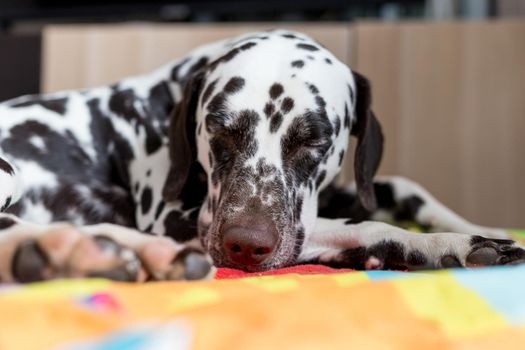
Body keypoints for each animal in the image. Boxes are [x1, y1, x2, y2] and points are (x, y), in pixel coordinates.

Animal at [0, 28, 520, 284]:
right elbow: (367, 224)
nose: (246, 246)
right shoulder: (176, 218)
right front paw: (447, 243)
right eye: (218, 127)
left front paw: (477, 227)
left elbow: (399, 189)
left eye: (314, 139)